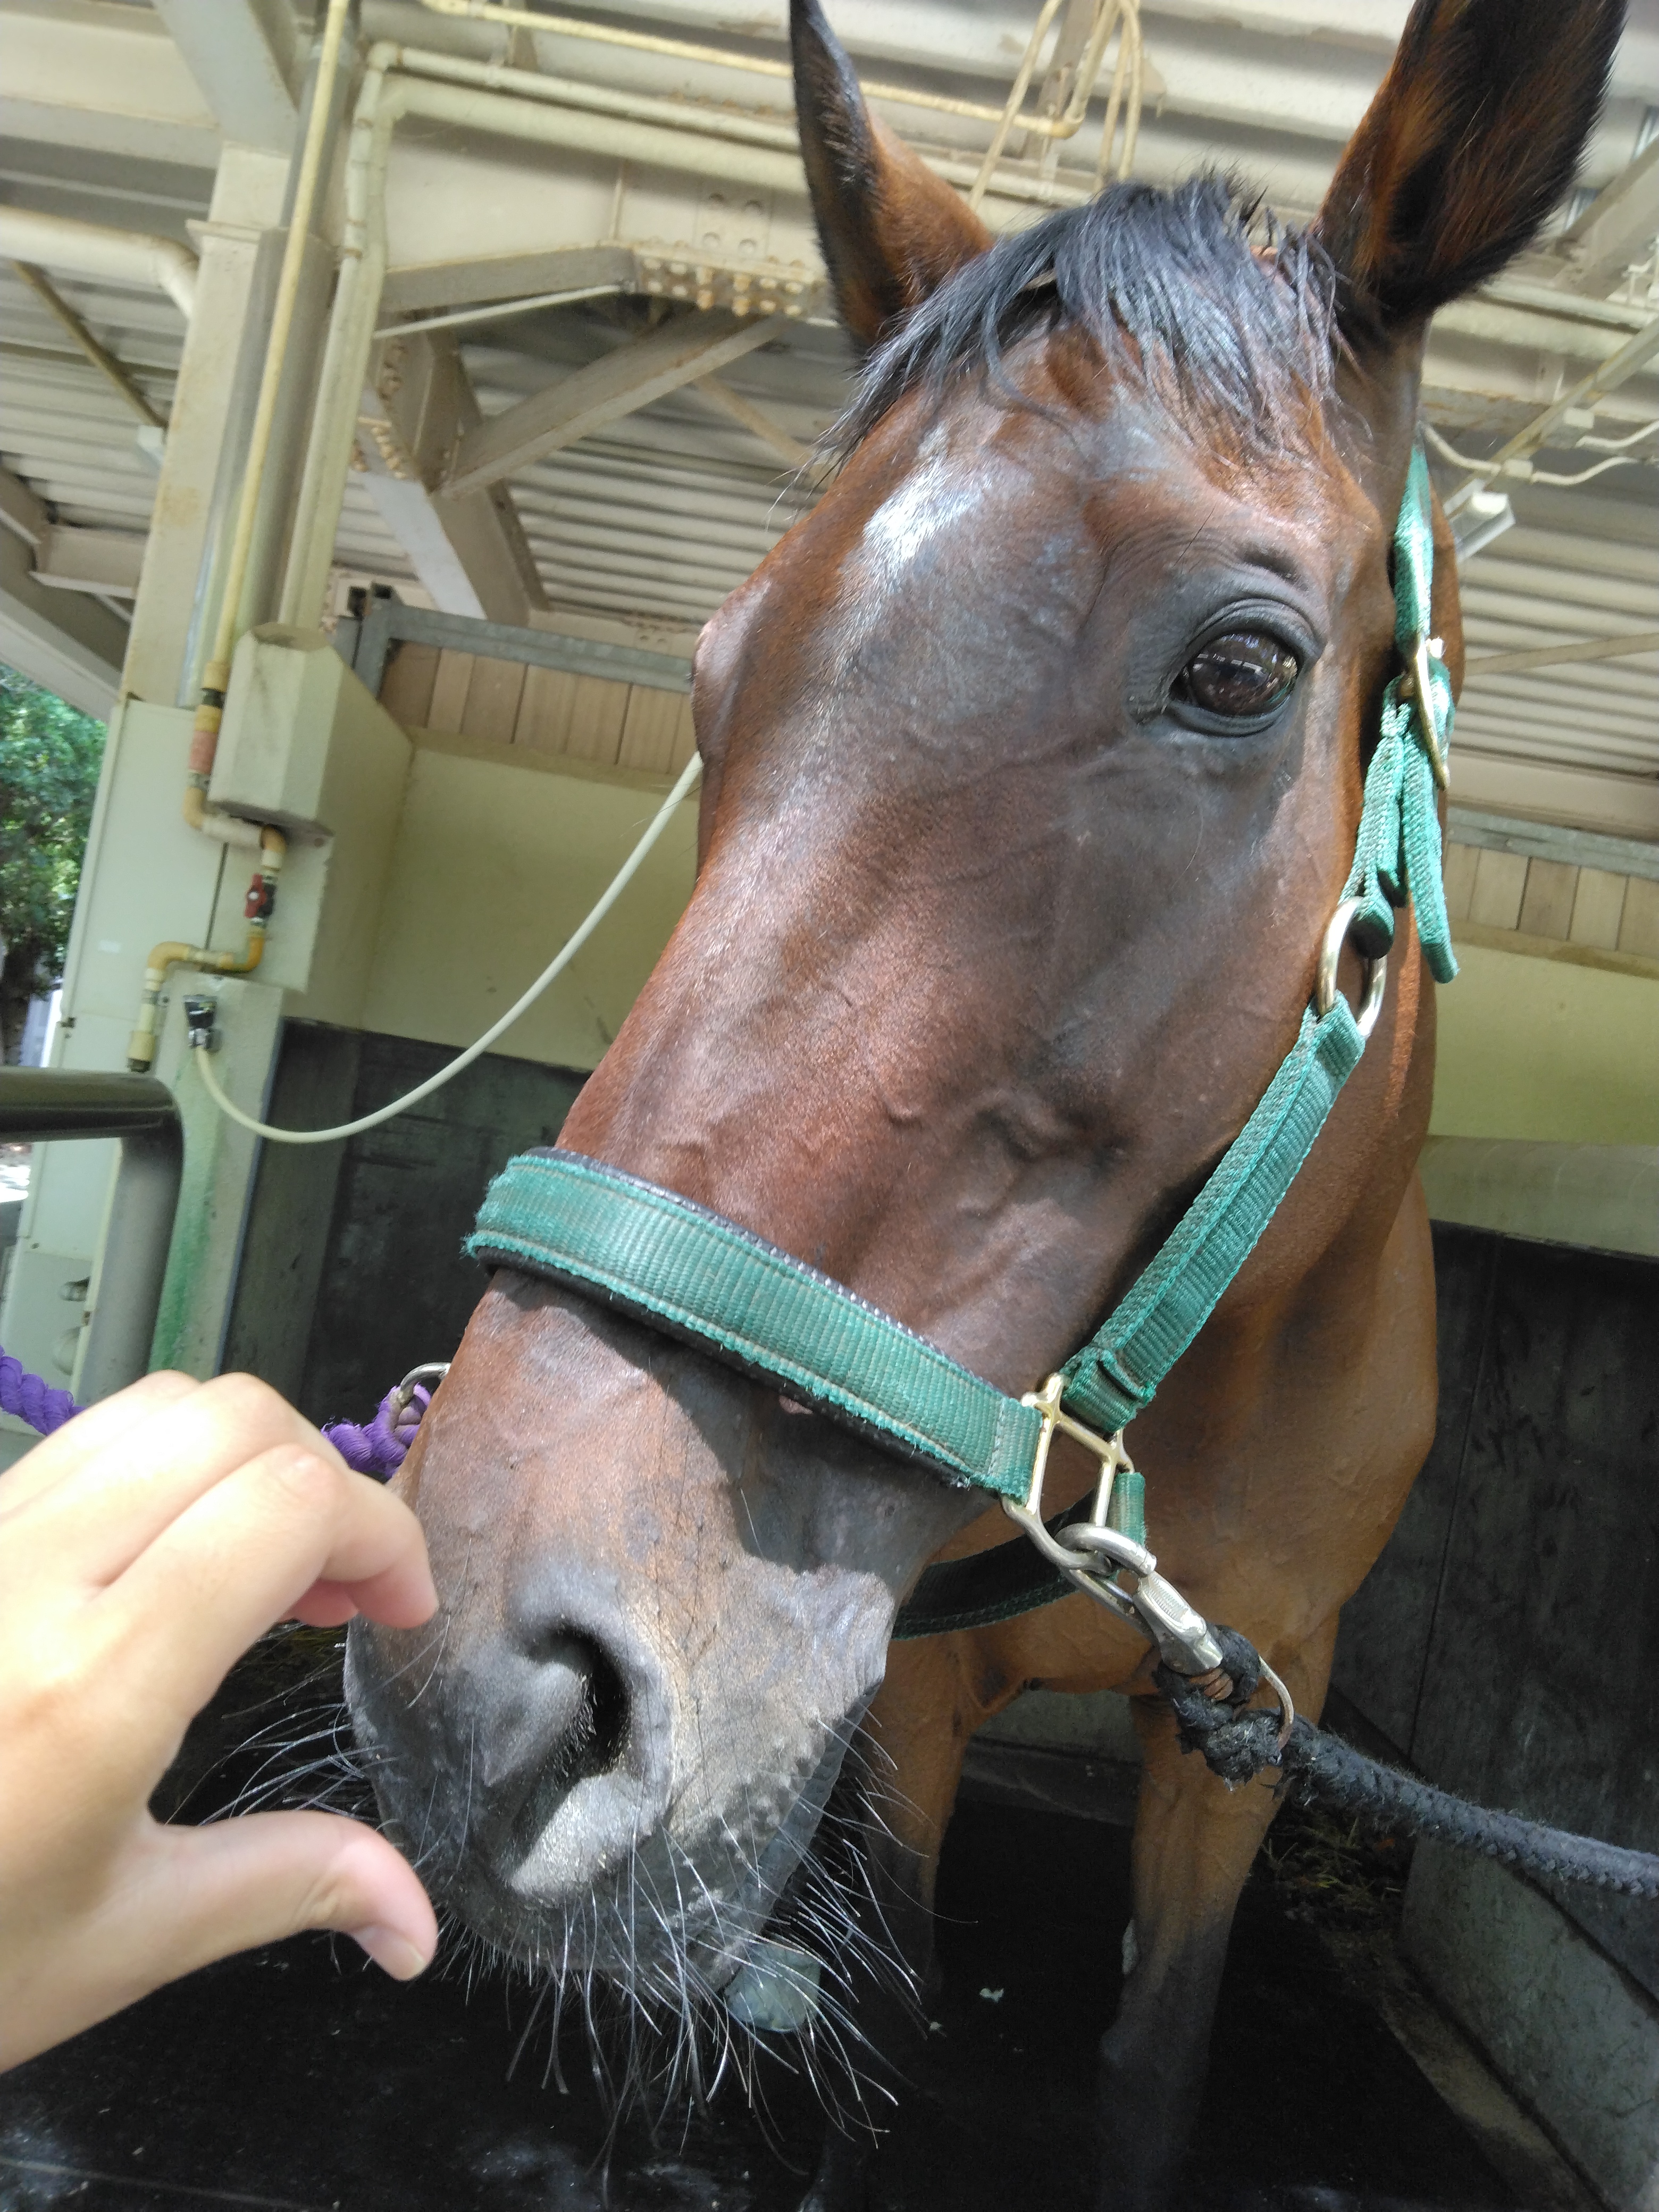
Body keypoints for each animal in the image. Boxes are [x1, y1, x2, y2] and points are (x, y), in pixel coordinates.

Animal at [345, 0, 1622, 2200]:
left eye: (1240, 669)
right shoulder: (910, 1705)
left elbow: (1150, 2068)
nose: (480, 1676)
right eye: (712, 679)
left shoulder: (1252, 1725)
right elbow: (895, 2047)